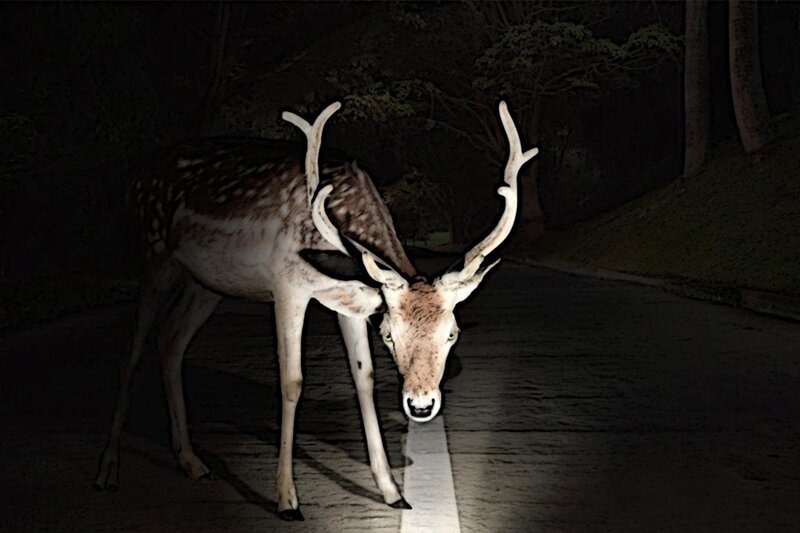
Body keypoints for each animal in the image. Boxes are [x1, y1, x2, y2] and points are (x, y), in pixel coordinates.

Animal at [93, 100, 538, 521]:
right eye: (389, 333)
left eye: (452, 332)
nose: (421, 404)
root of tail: (133, 176)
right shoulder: (287, 285)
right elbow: (292, 382)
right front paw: (287, 499)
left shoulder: (353, 305)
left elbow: (365, 379)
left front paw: (392, 491)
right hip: (154, 255)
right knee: (132, 351)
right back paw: (108, 471)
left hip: (205, 283)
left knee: (171, 339)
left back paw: (192, 463)